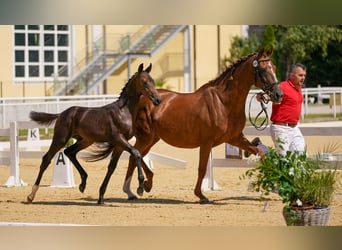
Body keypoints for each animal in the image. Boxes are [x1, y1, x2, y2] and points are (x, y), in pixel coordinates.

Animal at [25, 63, 162, 205]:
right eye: (144, 82)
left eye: (153, 81)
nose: (158, 100)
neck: (123, 111)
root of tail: (62, 114)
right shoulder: (118, 139)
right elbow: (136, 153)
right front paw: (141, 186)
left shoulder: (119, 145)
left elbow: (112, 166)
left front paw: (101, 197)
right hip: (60, 139)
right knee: (46, 159)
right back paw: (31, 195)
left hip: (85, 140)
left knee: (69, 152)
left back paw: (83, 183)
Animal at [92, 46, 282, 203]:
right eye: (263, 69)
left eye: (274, 68)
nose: (278, 95)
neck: (223, 102)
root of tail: (140, 98)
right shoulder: (206, 143)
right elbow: (202, 168)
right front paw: (201, 196)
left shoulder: (236, 139)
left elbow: (261, 154)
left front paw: (274, 185)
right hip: (145, 137)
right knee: (135, 155)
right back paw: (142, 186)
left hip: (153, 138)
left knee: (135, 156)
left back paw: (134, 190)